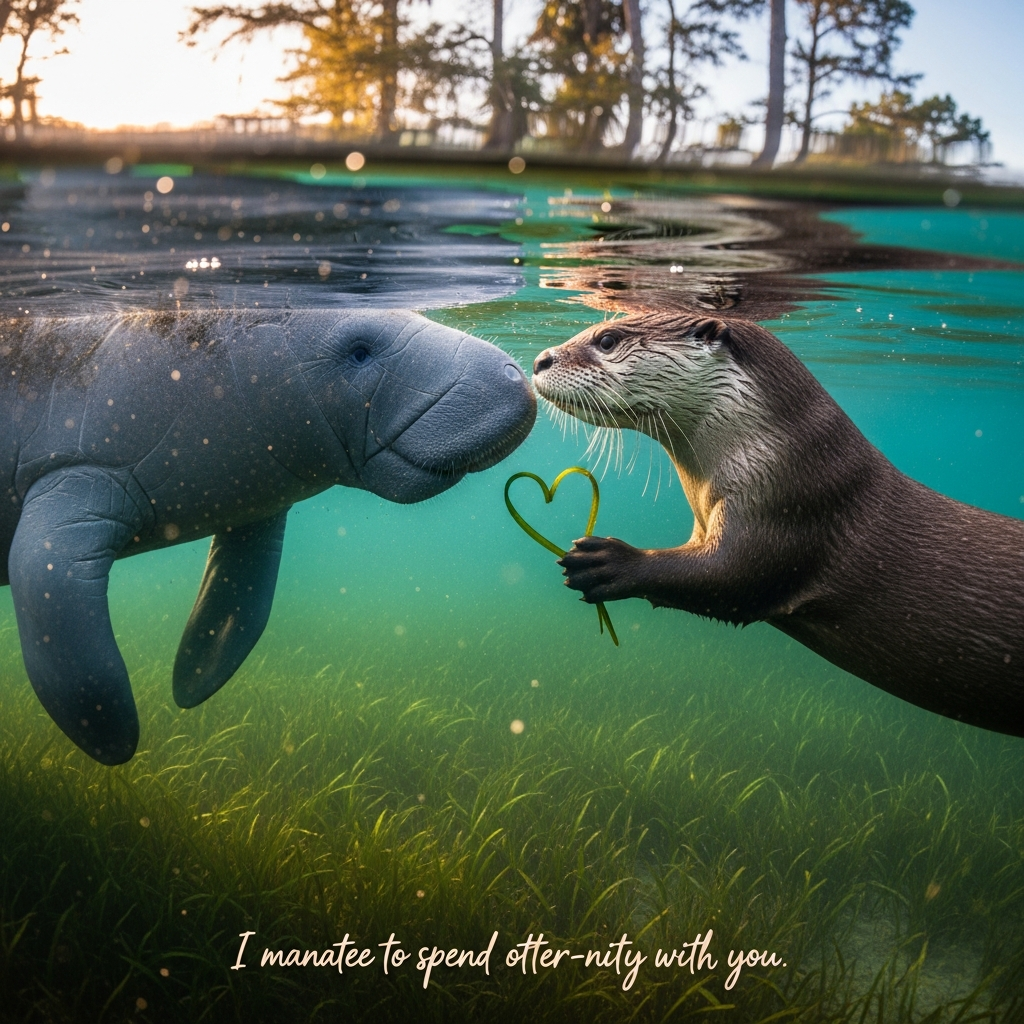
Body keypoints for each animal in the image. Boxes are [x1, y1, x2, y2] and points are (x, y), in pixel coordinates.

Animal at [532, 313, 1024, 737]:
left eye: (607, 340)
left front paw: (608, 562)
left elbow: (734, 578)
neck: (779, 454)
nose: (540, 360)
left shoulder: (791, 506)